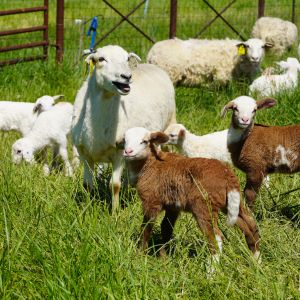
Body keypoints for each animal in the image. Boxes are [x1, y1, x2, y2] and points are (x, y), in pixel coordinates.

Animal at [72, 45, 177, 212]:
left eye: (127, 58)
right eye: (101, 59)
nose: (126, 76)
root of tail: (150, 65)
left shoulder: (119, 151)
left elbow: (114, 185)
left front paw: (114, 213)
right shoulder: (85, 153)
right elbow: (87, 185)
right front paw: (86, 209)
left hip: (169, 125)